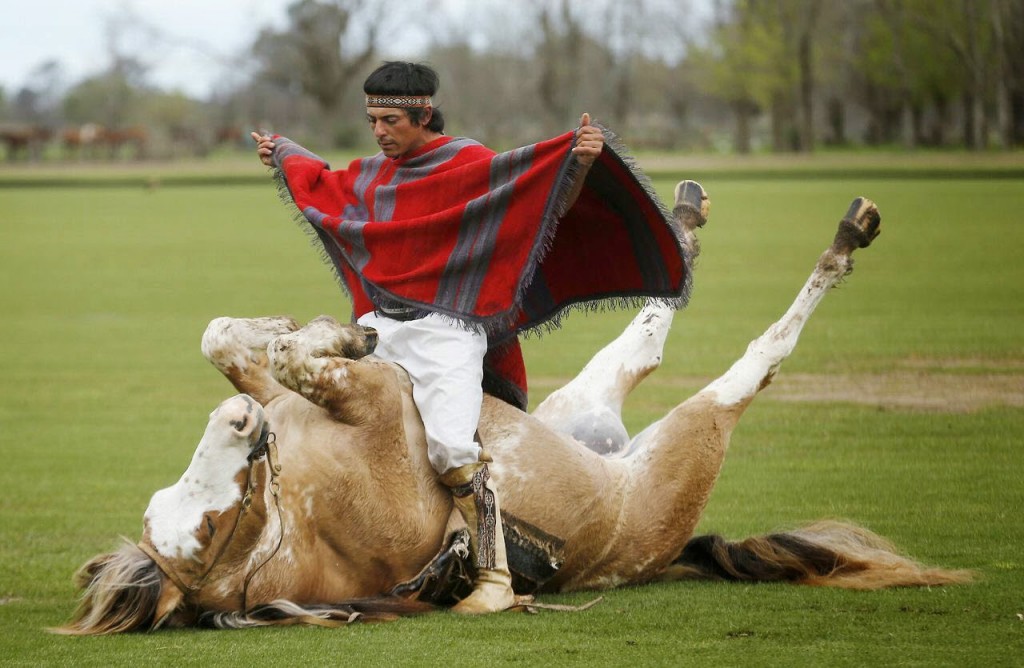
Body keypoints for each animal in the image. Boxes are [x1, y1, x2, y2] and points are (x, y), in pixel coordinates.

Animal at [54, 185, 966, 635]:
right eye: (217, 528)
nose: (243, 429)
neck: (298, 507)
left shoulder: (298, 394)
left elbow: (232, 339)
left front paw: (316, 327)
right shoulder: (376, 409)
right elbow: (296, 358)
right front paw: (336, 335)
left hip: (579, 411)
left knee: (643, 337)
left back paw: (684, 216)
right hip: (687, 440)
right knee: (743, 360)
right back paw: (841, 239)